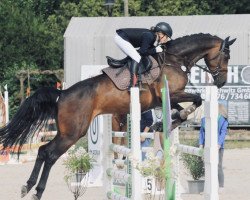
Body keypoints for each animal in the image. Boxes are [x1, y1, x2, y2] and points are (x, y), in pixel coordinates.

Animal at [0, 32, 234, 198]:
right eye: (226, 56)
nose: (221, 82)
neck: (174, 59)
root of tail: (62, 94)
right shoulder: (169, 92)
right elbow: (197, 99)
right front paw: (176, 117)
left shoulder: (164, 99)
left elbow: (181, 109)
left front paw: (165, 124)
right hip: (73, 133)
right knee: (49, 154)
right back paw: (37, 191)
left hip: (66, 132)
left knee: (41, 151)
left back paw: (28, 186)